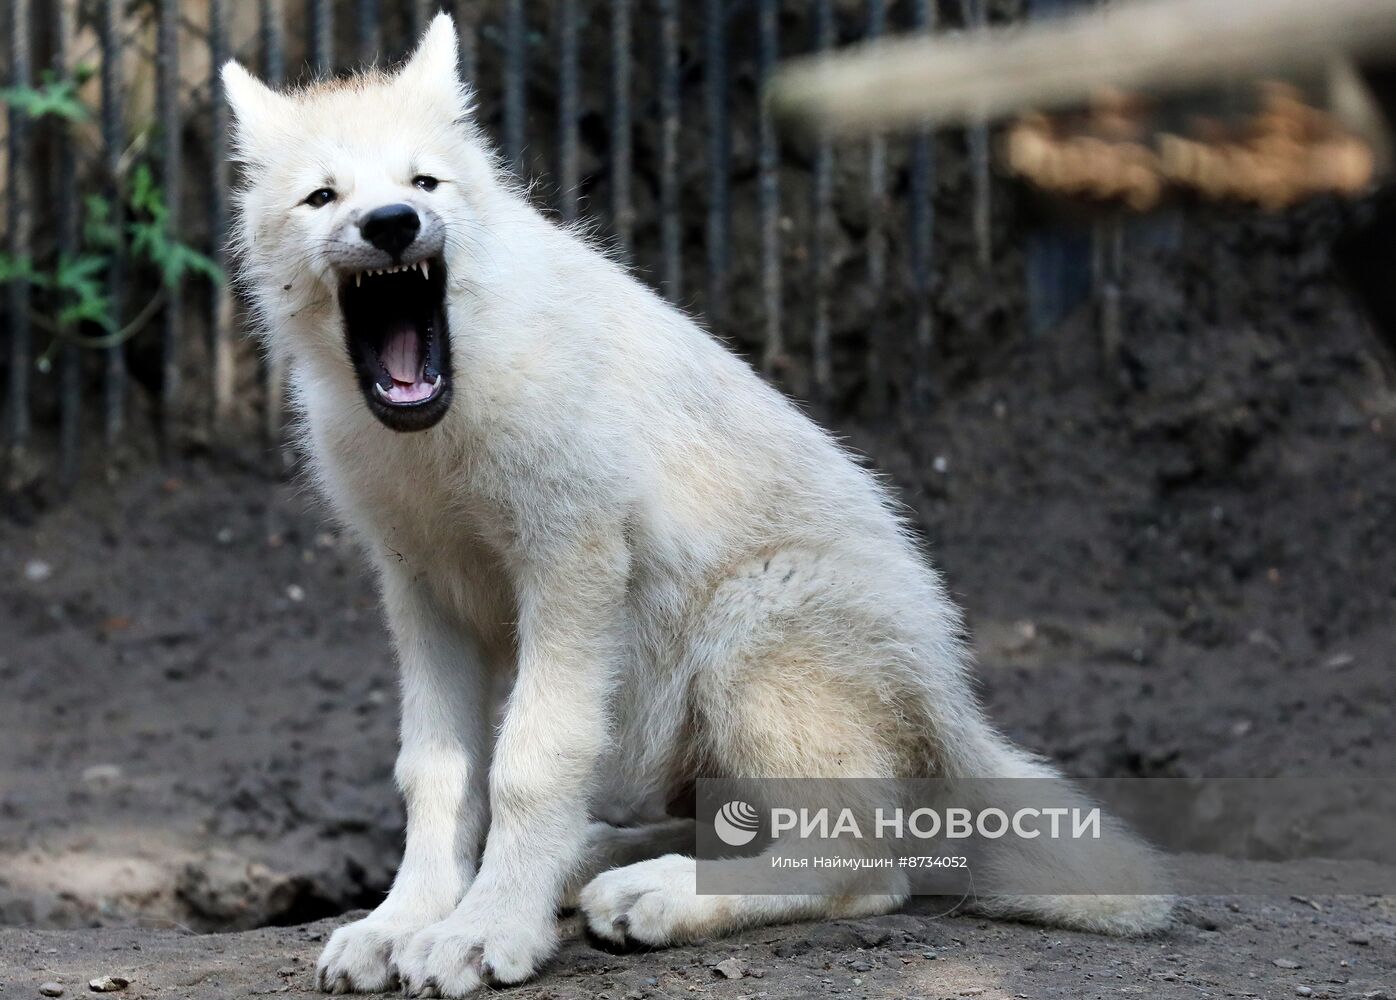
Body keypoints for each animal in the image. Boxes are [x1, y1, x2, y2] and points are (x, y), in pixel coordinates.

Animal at [223, 13, 1172, 994]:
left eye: (423, 183)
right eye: (323, 196)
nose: (392, 224)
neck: (443, 429)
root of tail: (956, 704)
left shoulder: (572, 563)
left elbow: (531, 761)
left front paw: (484, 931)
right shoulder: (422, 593)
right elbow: (436, 773)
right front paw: (401, 923)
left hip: (750, 628)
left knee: (867, 868)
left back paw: (650, 895)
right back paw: (601, 867)